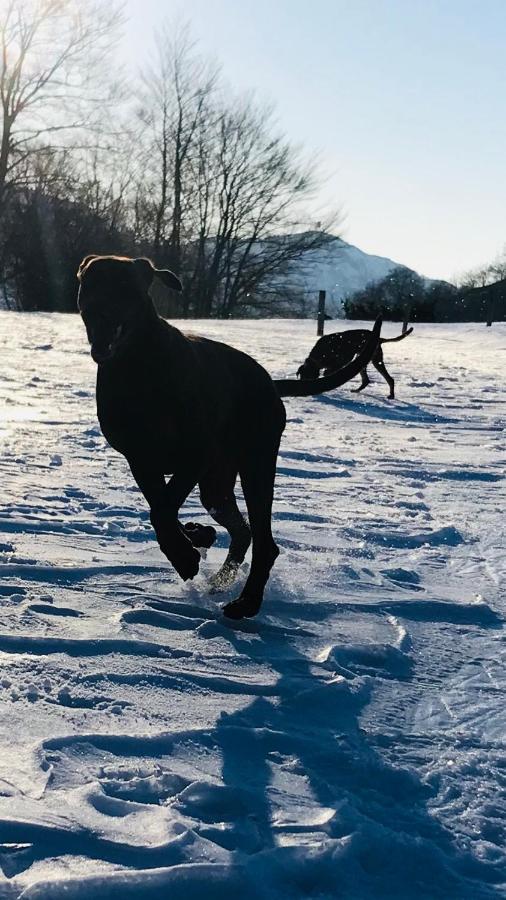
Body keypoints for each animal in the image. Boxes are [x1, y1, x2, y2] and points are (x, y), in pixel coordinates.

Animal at [77, 256, 382, 616]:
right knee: (243, 531)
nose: (101, 311)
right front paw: (195, 537)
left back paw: (246, 601)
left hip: (256, 464)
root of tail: (269, 384)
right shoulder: (141, 458)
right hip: (217, 483)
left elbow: (163, 511)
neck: (136, 364)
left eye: (125, 286)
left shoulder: (196, 453)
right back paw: (219, 575)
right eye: (90, 283)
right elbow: (161, 508)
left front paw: (184, 554)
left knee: (264, 541)